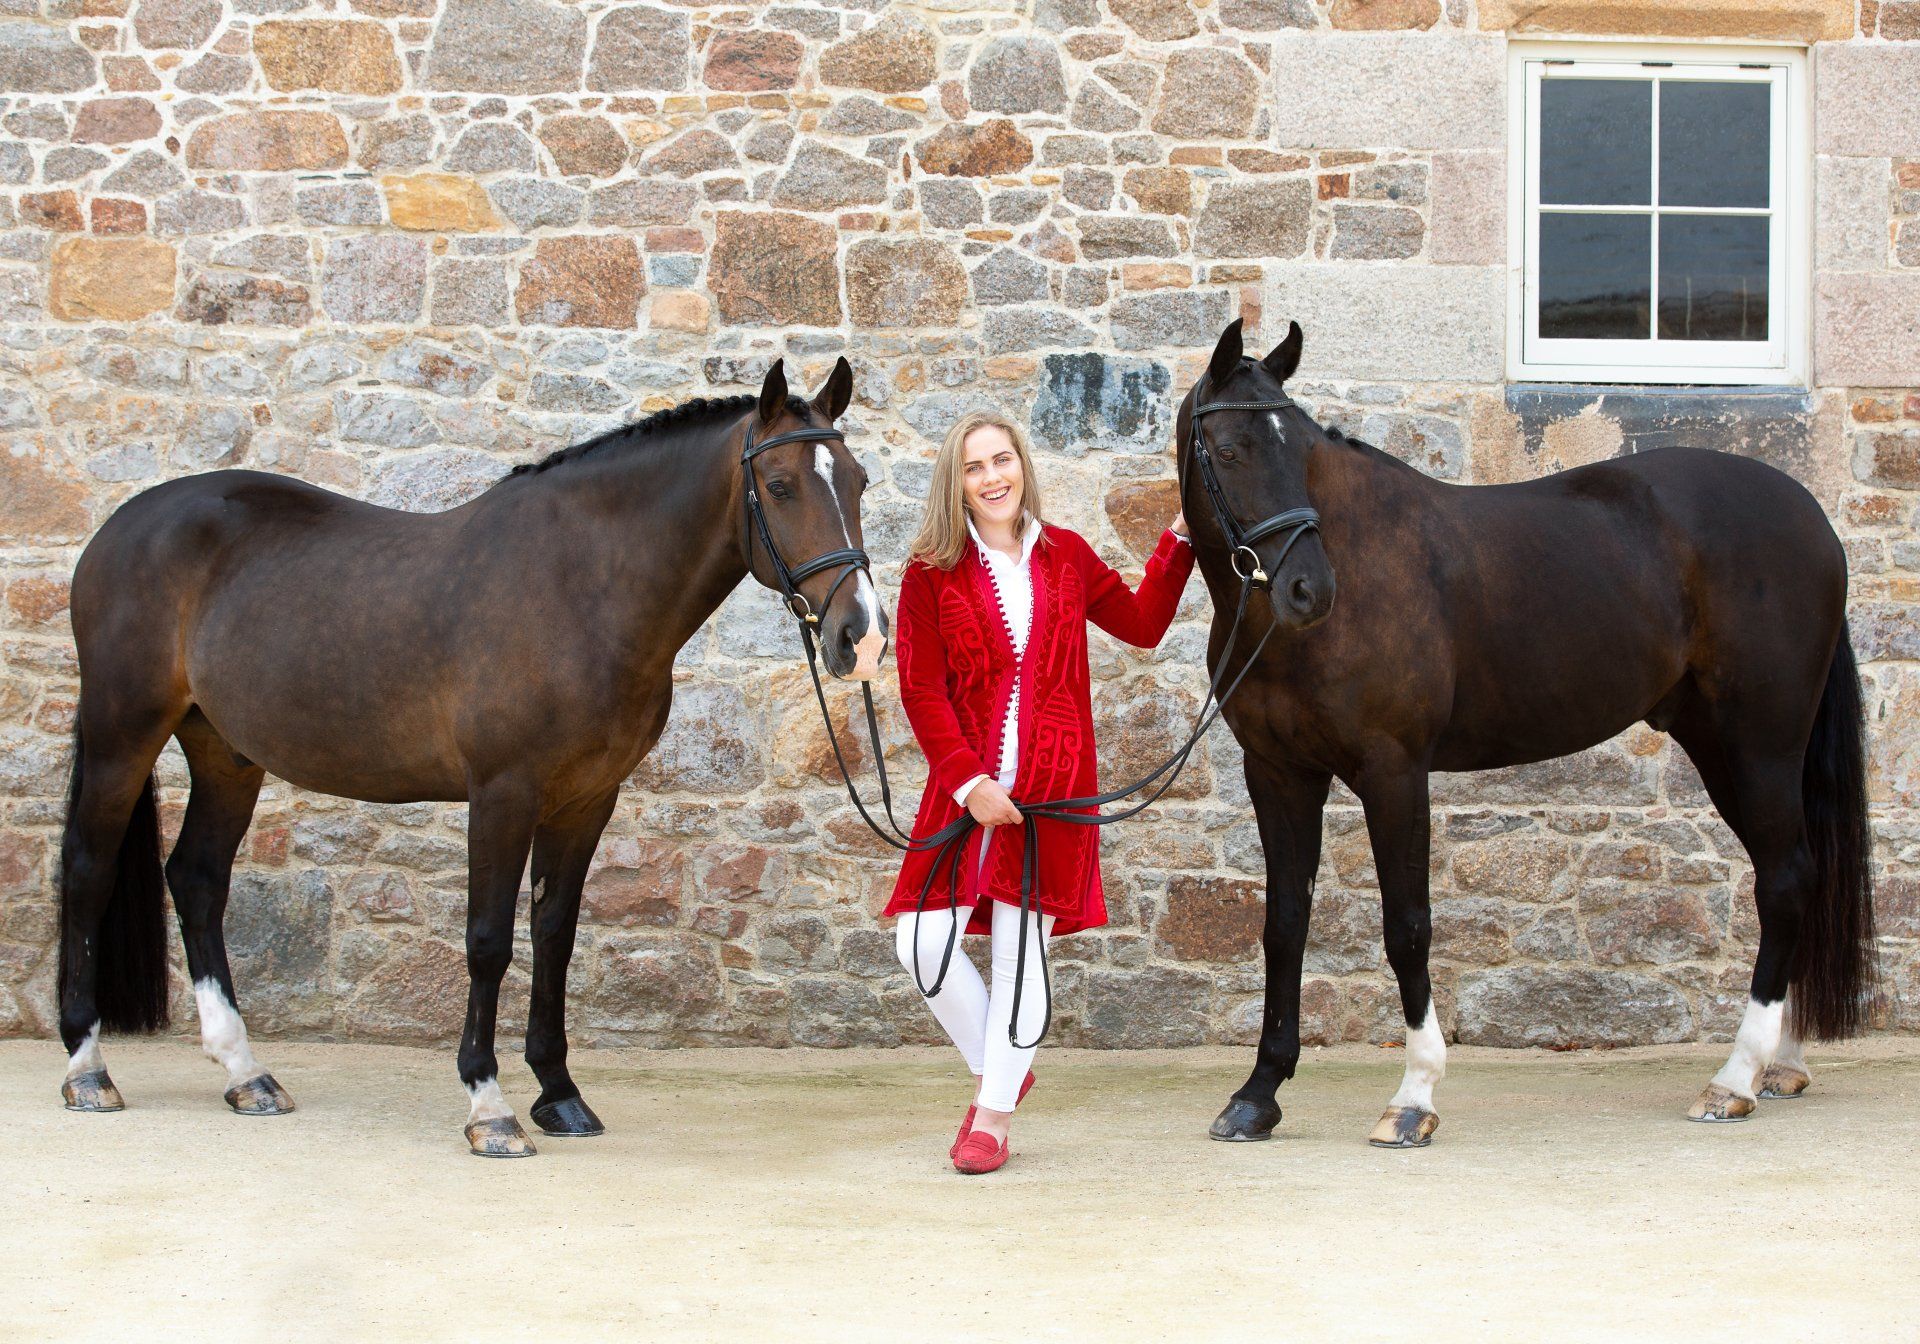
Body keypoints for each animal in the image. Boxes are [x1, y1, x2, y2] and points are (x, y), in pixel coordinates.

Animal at [55, 358, 886, 1157]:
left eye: (857, 481)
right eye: (779, 486)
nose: (863, 636)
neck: (581, 586)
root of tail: (120, 525)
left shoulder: (587, 799)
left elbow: (555, 935)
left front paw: (559, 1094)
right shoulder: (503, 792)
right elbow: (487, 940)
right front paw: (490, 1108)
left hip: (225, 752)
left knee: (197, 880)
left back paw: (245, 1072)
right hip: (123, 733)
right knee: (88, 871)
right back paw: (88, 1068)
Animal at [1182, 319, 1875, 1147]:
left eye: (1305, 453)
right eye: (1230, 451)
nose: (1308, 591)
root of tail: (1812, 518)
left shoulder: (1393, 770)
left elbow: (1406, 925)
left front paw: (1414, 1097)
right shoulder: (1279, 772)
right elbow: (1284, 925)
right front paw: (1258, 1095)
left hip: (1757, 748)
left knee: (1786, 880)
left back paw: (1733, 1078)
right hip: (1723, 744)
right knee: (1797, 880)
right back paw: (1779, 1066)